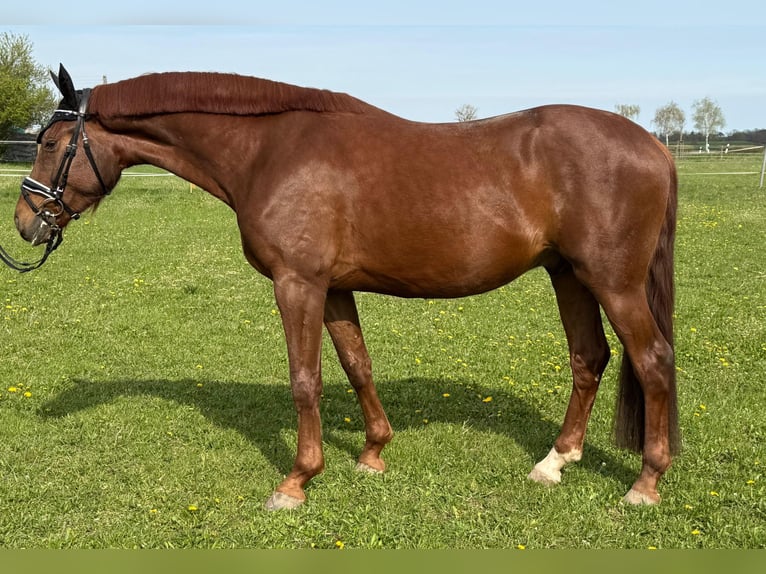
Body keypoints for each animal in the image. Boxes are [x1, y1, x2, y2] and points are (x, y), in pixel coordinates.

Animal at [10, 65, 679, 510]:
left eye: (51, 143)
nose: (24, 222)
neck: (269, 150)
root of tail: (652, 145)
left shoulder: (296, 284)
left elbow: (305, 380)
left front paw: (297, 481)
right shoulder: (332, 288)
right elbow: (357, 363)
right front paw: (373, 453)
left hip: (613, 283)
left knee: (652, 360)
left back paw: (645, 483)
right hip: (569, 276)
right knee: (589, 358)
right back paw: (554, 462)